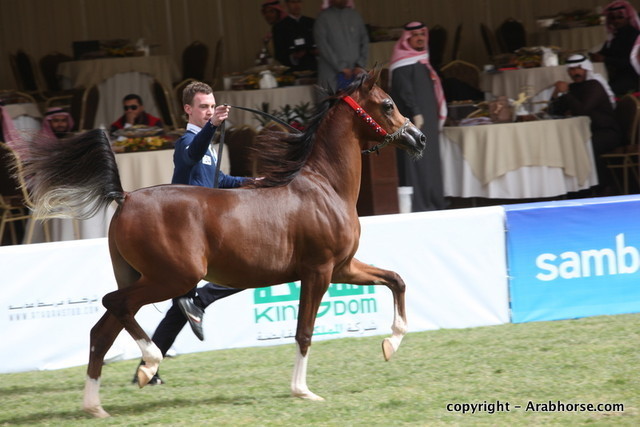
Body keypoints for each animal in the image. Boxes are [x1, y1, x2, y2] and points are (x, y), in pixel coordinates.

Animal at [20, 69, 426, 418]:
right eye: (387, 104)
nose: (418, 138)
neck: (324, 187)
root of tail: (126, 197)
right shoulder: (319, 271)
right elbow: (304, 331)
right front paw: (302, 391)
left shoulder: (343, 267)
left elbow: (396, 279)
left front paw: (390, 345)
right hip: (172, 278)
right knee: (115, 305)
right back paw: (150, 362)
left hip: (142, 277)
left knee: (104, 329)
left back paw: (96, 405)